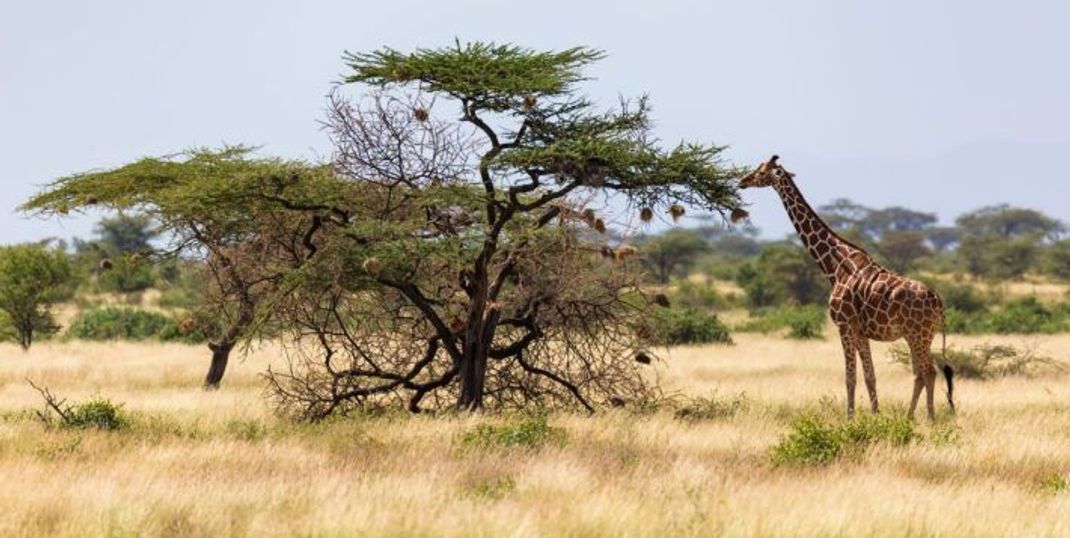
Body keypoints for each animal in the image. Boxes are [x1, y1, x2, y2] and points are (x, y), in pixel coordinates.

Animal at [740, 156, 958, 421]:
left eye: (761, 171)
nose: (742, 181)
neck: (834, 267)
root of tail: (938, 300)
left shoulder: (843, 325)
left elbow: (850, 378)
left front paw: (850, 418)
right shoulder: (860, 331)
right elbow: (870, 376)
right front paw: (876, 415)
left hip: (918, 334)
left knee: (929, 371)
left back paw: (930, 418)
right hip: (918, 335)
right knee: (920, 373)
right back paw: (909, 416)